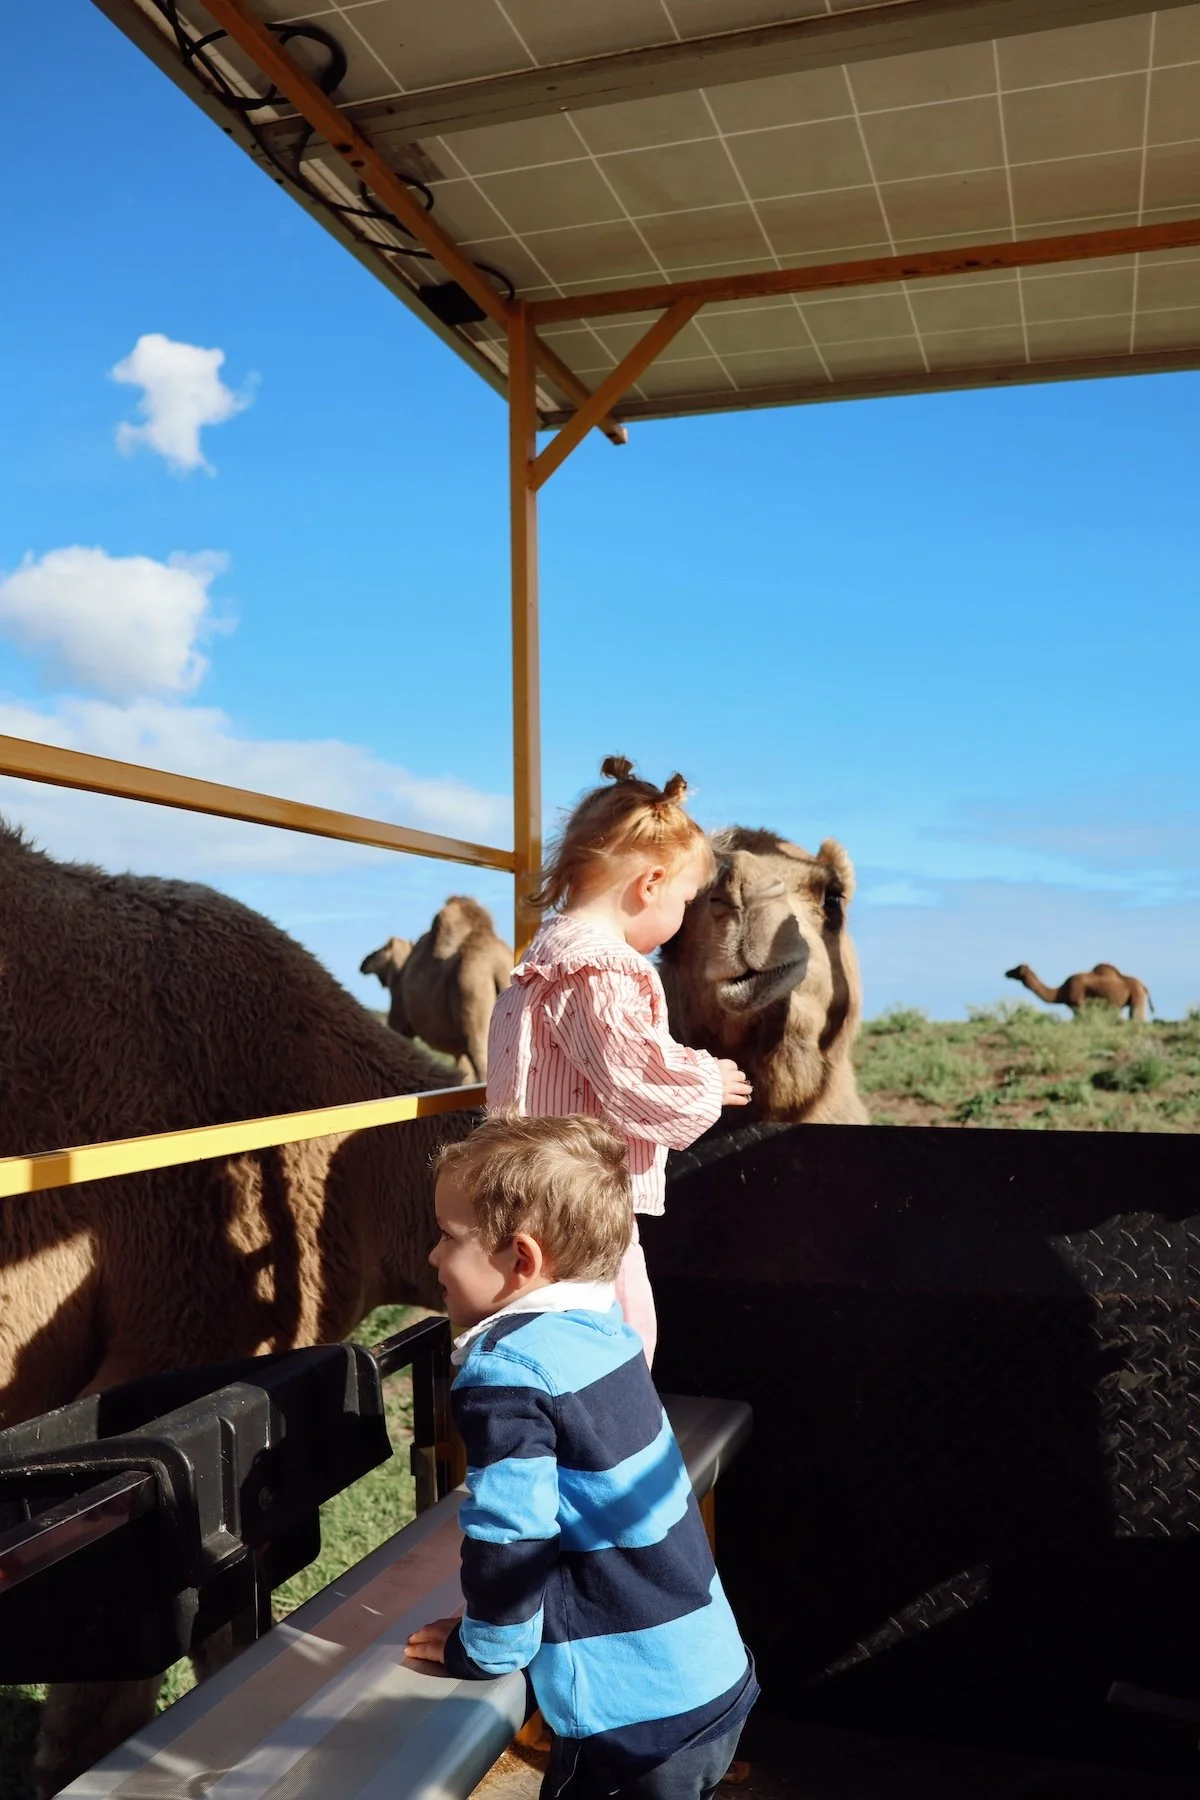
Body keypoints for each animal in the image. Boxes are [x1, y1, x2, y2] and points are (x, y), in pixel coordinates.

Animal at [360, 896, 513, 1081]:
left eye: (380, 949)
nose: (364, 963)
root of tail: (497, 966)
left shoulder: (400, 1023)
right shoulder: (459, 1050)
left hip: (472, 998)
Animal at [1005, 962, 1154, 1021]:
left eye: (1016, 969)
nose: (1006, 973)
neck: (1060, 992)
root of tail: (1144, 986)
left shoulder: (1078, 1004)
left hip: (1136, 995)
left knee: (1136, 1016)